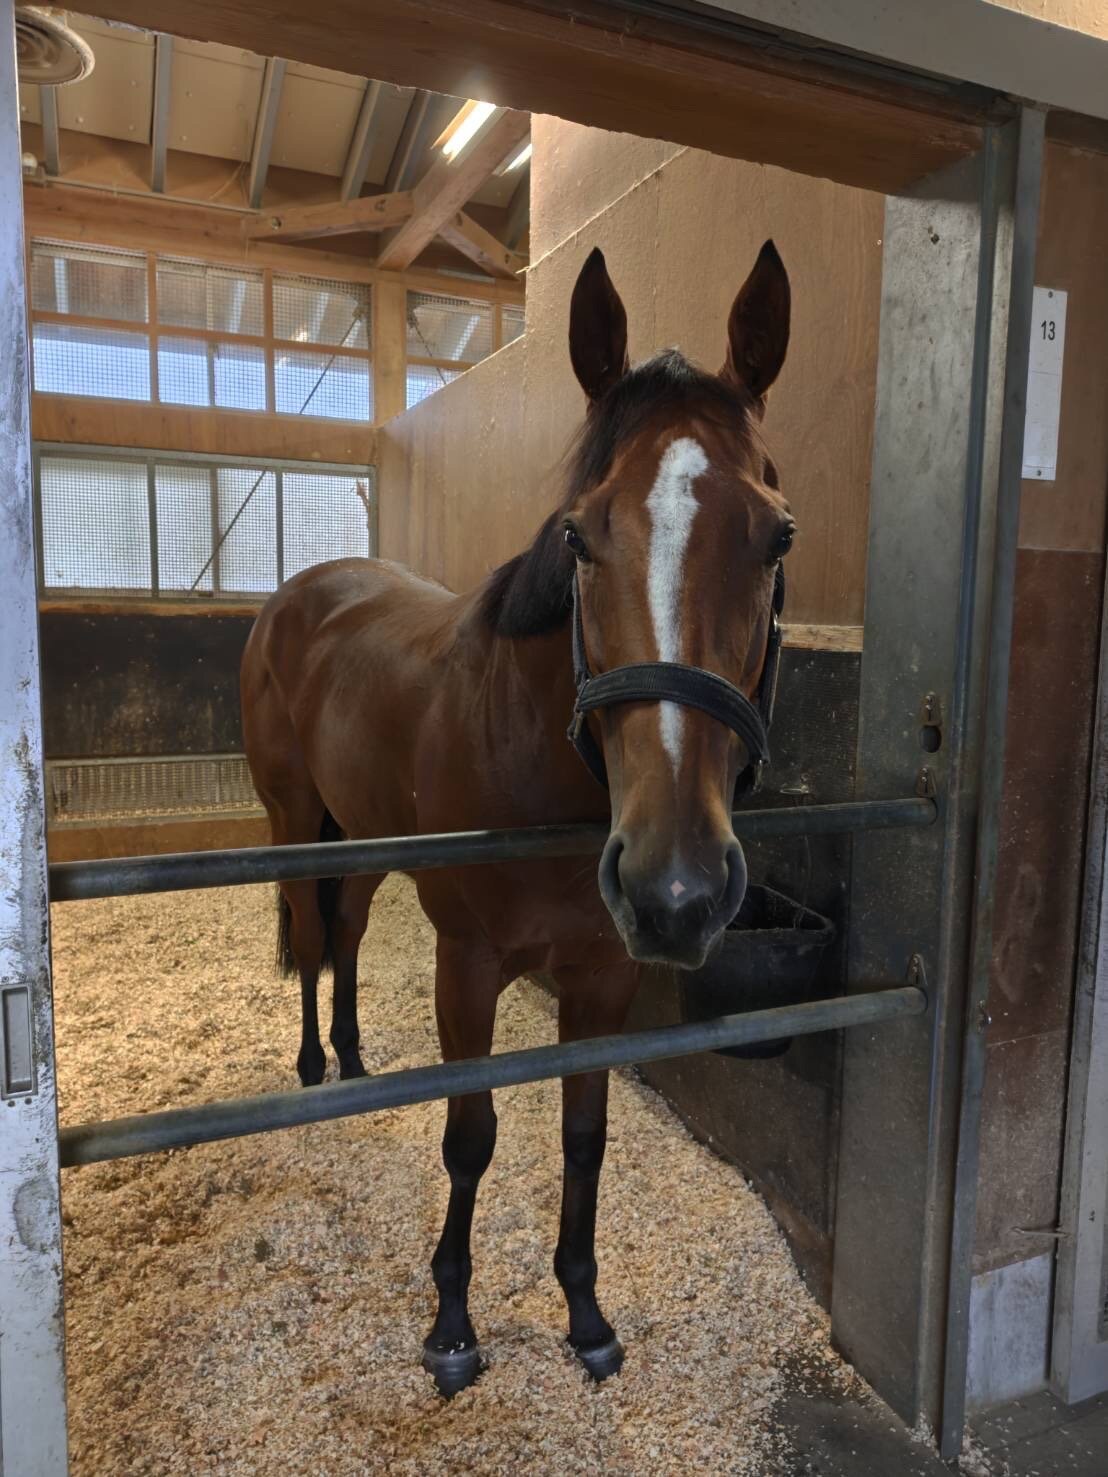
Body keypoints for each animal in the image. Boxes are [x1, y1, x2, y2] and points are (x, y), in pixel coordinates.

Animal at [240, 241, 793, 1395]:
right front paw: (452, 1324)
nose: (674, 886)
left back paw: (353, 1057)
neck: (540, 765)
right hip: (292, 817)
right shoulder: (468, 963)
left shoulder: (602, 976)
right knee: (308, 931)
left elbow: (584, 1137)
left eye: (777, 537)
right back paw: (313, 1067)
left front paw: (584, 1310)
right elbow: (472, 1135)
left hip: (368, 839)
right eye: (579, 537)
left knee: (345, 928)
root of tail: (299, 596)